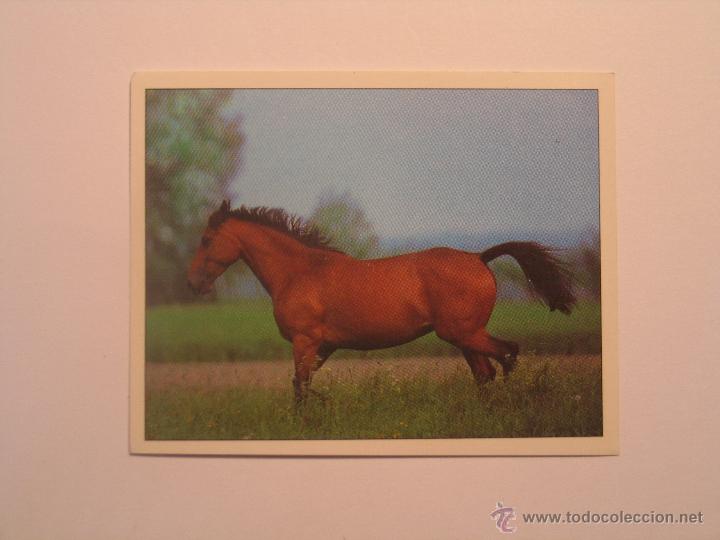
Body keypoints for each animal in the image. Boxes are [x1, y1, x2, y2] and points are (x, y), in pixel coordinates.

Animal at [187, 200, 576, 402]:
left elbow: (300, 387)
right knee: (486, 372)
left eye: (206, 240)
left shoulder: (305, 341)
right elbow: (303, 384)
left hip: (463, 333)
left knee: (507, 354)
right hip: (465, 336)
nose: (192, 284)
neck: (300, 271)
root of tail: (478, 258)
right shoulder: (322, 346)